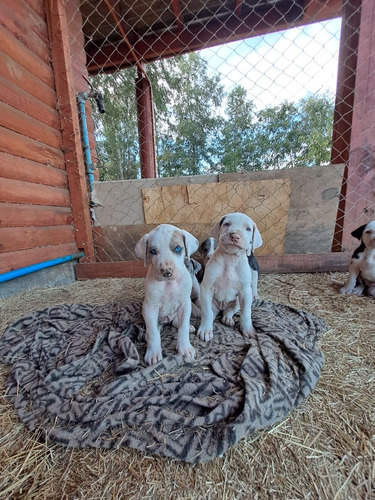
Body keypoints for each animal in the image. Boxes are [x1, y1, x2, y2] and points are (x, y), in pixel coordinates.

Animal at [135, 225, 200, 366]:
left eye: (178, 248)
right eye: (153, 251)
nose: (167, 272)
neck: (169, 283)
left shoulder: (185, 305)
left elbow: (183, 327)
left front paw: (185, 349)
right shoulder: (149, 308)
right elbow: (153, 333)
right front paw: (153, 353)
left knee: (177, 322)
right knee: (154, 329)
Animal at [198, 213, 262, 342]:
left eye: (248, 228)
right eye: (227, 224)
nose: (235, 236)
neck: (230, 259)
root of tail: (222, 307)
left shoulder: (245, 292)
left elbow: (246, 313)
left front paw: (248, 330)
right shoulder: (207, 288)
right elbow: (207, 312)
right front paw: (205, 330)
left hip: (237, 301)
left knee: (229, 310)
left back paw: (228, 319)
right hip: (210, 302)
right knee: (211, 312)